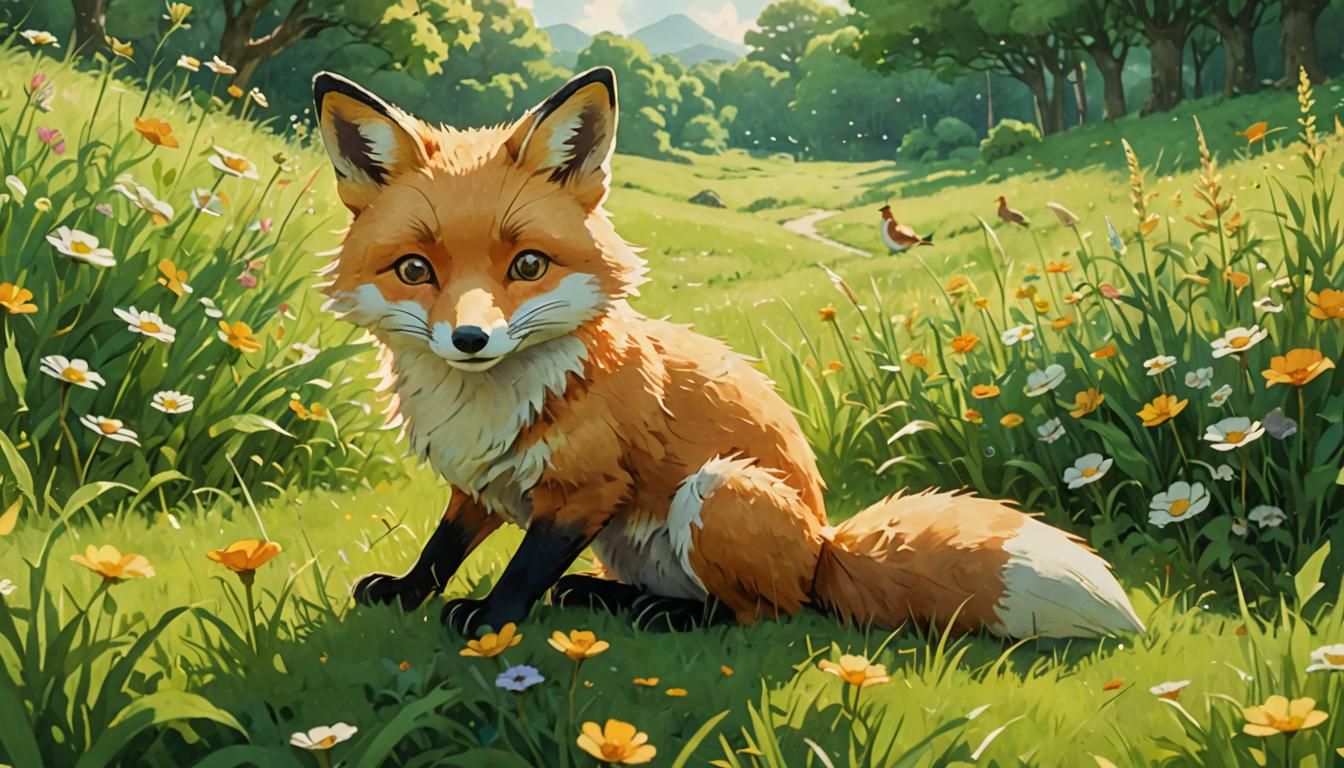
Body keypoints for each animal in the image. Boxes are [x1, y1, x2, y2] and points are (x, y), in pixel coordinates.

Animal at [311, 66, 1145, 640]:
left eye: (528, 265)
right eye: (415, 270)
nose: (470, 340)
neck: (489, 404)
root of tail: (824, 545)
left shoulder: (584, 492)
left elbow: (523, 568)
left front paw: (490, 621)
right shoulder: (483, 483)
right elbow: (442, 548)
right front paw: (407, 591)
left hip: (714, 492)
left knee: (762, 612)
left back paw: (658, 617)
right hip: (639, 541)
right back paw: (605, 597)